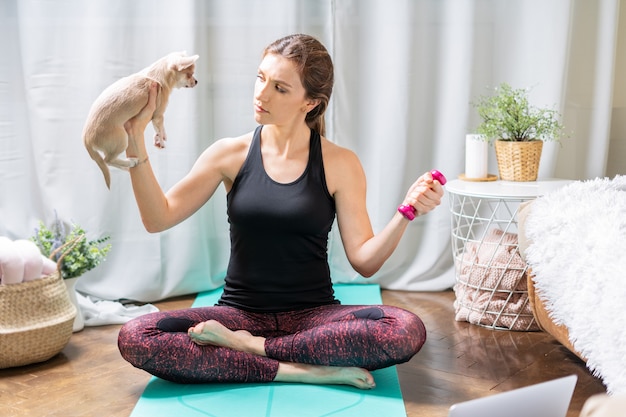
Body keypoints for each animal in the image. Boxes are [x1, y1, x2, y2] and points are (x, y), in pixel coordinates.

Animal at [81, 51, 196, 188]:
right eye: (189, 74)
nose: (196, 81)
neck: (156, 75)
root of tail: (86, 139)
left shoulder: (155, 116)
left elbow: (159, 129)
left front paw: (160, 137)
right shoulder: (158, 114)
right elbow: (159, 127)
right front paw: (162, 140)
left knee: (108, 162)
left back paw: (126, 167)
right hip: (121, 140)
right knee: (107, 160)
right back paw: (130, 162)